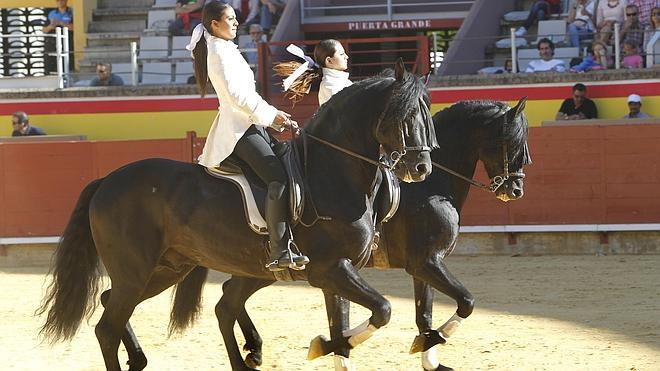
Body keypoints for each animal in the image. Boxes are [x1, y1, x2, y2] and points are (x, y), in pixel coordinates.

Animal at [36, 59, 438, 370]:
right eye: (403, 114)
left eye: (427, 113)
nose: (420, 168)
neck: (331, 172)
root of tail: (107, 180)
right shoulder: (332, 268)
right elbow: (382, 309)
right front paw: (321, 345)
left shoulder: (336, 271)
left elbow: (344, 322)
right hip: (136, 271)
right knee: (108, 326)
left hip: (168, 268)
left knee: (131, 307)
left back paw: (145, 358)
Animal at [209, 97, 532, 370]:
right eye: (511, 143)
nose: (516, 190)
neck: (431, 185)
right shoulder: (427, 262)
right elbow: (466, 302)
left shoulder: (422, 266)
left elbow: (424, 312)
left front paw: (428, 354)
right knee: (228, 301)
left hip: (261, 270)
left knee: (228, 300)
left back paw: (254, 350)